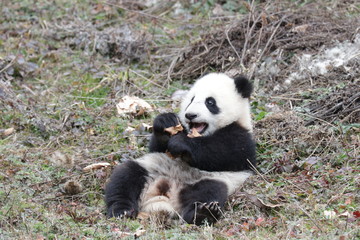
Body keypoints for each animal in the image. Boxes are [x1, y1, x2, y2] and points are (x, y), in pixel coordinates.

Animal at [105, 72, 256, 225]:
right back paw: (122, 210)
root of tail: (163, 197)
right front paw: (165, 122)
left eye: (210, 102)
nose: (190, 115)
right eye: (191, 99)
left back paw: (202, 213)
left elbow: (225, 153)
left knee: (209, 191)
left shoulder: (241, 135)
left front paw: (181, 143)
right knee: (125, 177)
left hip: (210, 180)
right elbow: (156, 148)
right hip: (150, 168)